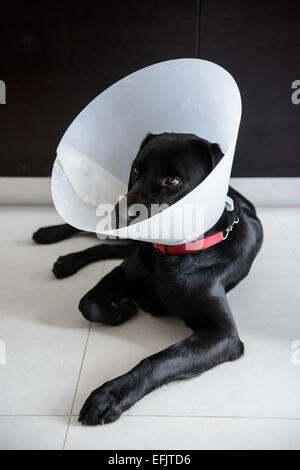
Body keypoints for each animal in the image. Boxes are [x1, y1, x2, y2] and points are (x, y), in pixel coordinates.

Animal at [33, 132, 262, 426]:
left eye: (172, 180)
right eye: (136, 170)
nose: (118, 215)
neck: (170, 255)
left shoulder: (223, 334)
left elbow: (162, 359)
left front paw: (110, 395)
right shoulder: (125, 271)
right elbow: (87, 303)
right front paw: (121, 310)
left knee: (104, 246)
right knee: (97, 240)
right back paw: (53, 240)